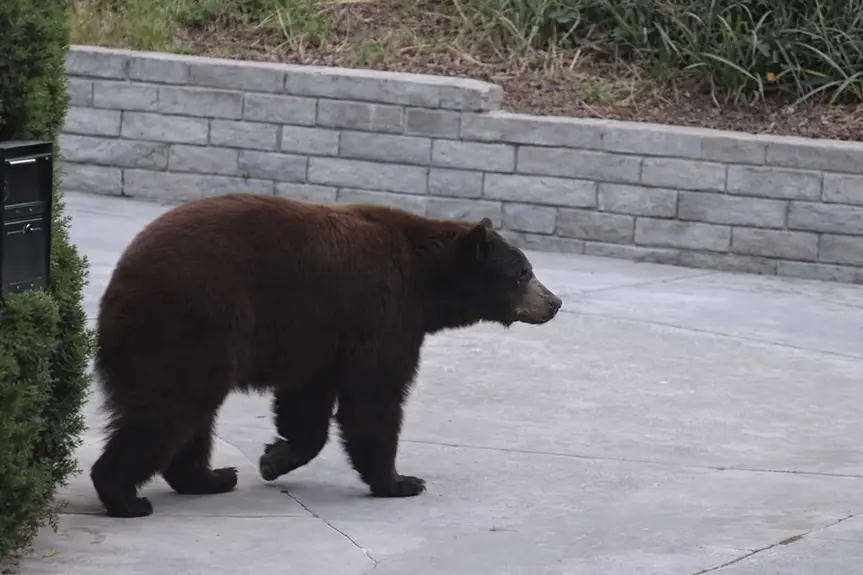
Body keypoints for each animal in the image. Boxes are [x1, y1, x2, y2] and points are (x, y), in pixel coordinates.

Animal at [90, 193, 562, 518]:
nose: (554, 302)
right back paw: (123, 496)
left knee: (192, 416)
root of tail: (120, 282)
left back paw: (210, 477)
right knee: (171, 408)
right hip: (193, 323)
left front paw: (273, 458)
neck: (425, 280)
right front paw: (400, 481)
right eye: (523, 272)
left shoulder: (320, 334)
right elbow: (374, 396)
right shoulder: (380, 311)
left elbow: (308, 402)